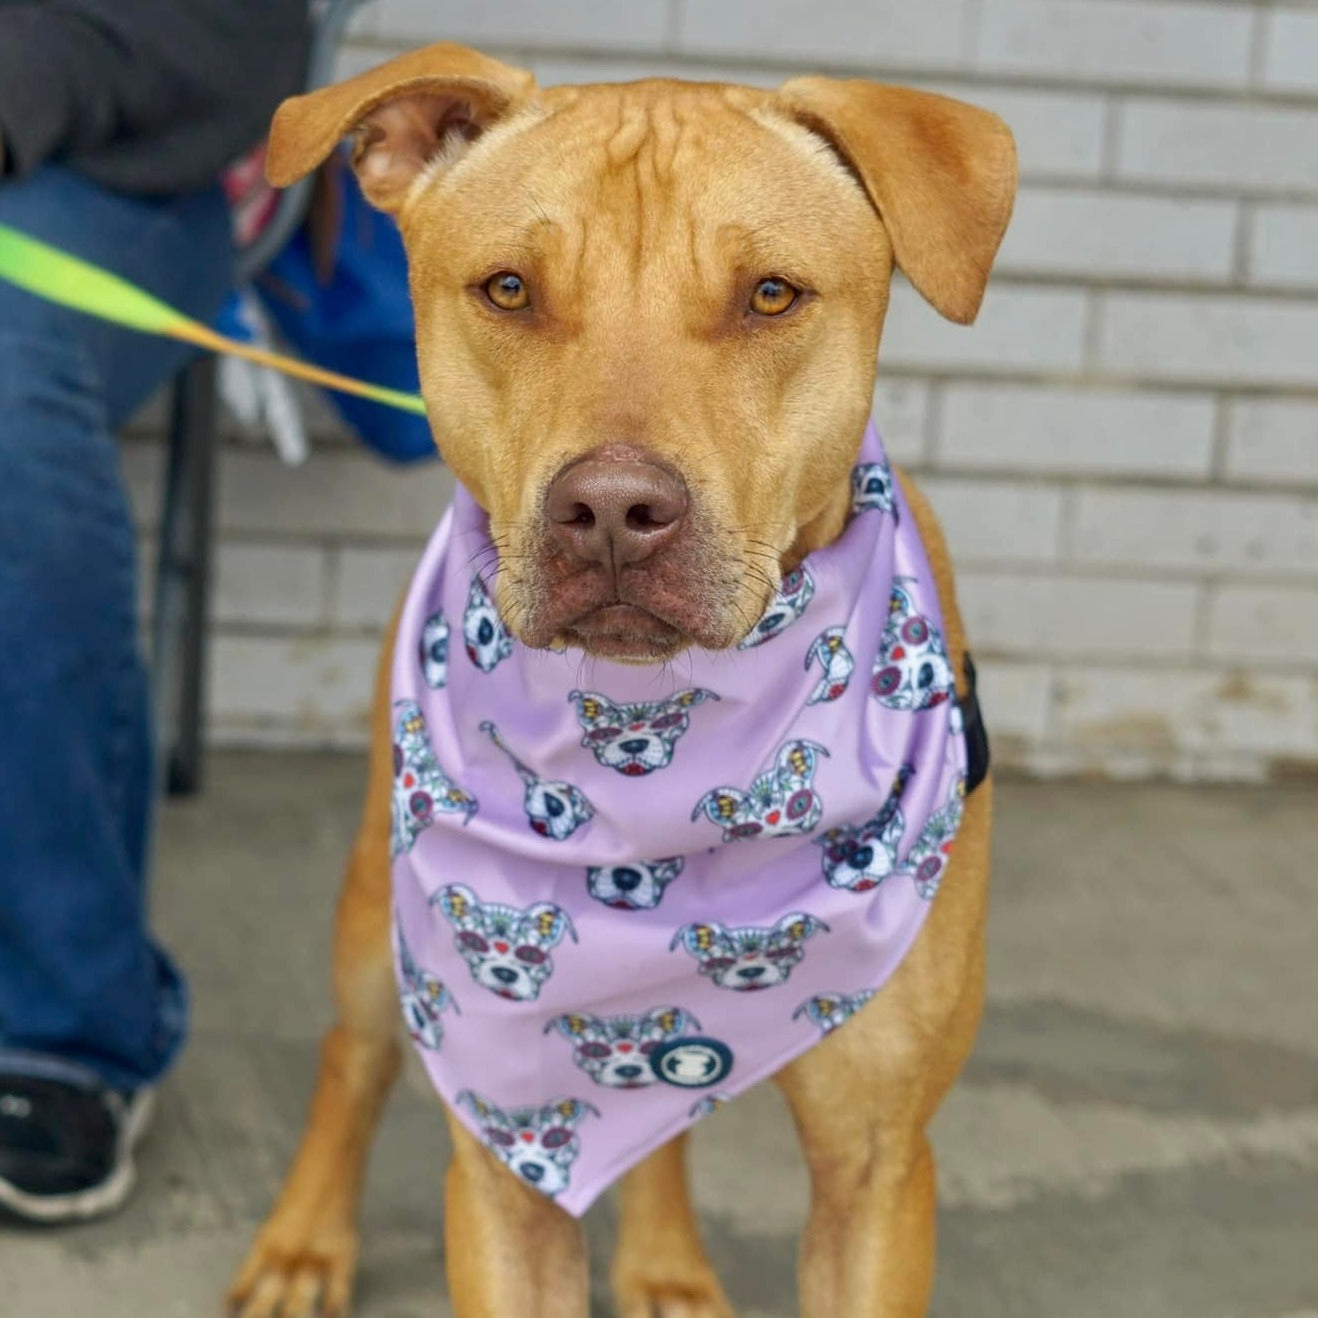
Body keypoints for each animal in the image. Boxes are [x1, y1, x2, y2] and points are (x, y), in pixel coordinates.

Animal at [226, 46, 1012, 1318]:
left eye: (771, 295)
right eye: (507, 289)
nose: (610, 509)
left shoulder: (877, 1167)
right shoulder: (501, 1155)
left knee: (657, 1119)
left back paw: (663, 1259)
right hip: (375, 912)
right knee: (355, 1052)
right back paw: (303, 1243)